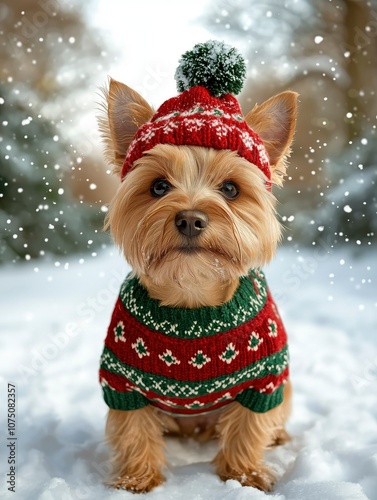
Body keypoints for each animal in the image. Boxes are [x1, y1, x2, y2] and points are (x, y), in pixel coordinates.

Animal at [97, 42, 296, 492]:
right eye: (158, 186)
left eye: (231, 189)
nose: (190, 218)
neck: (193, 297)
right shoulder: (121, 381)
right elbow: (133, 430)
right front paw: (137, 479)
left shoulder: (266, 378)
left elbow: (249, 428)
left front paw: (244, 475)